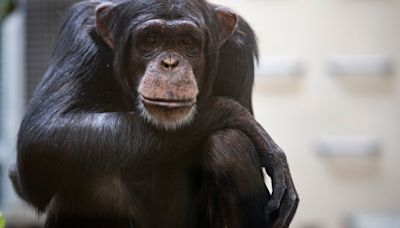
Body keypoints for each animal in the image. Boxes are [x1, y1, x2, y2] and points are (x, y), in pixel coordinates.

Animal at [9, 0, 298, 228]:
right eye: (150, 40)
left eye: (187, 42)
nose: (170, 63)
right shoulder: (78, 36)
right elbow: (44, 136)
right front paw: (245, 121)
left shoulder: (240, 48)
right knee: (91, 180)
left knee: (229, 145)